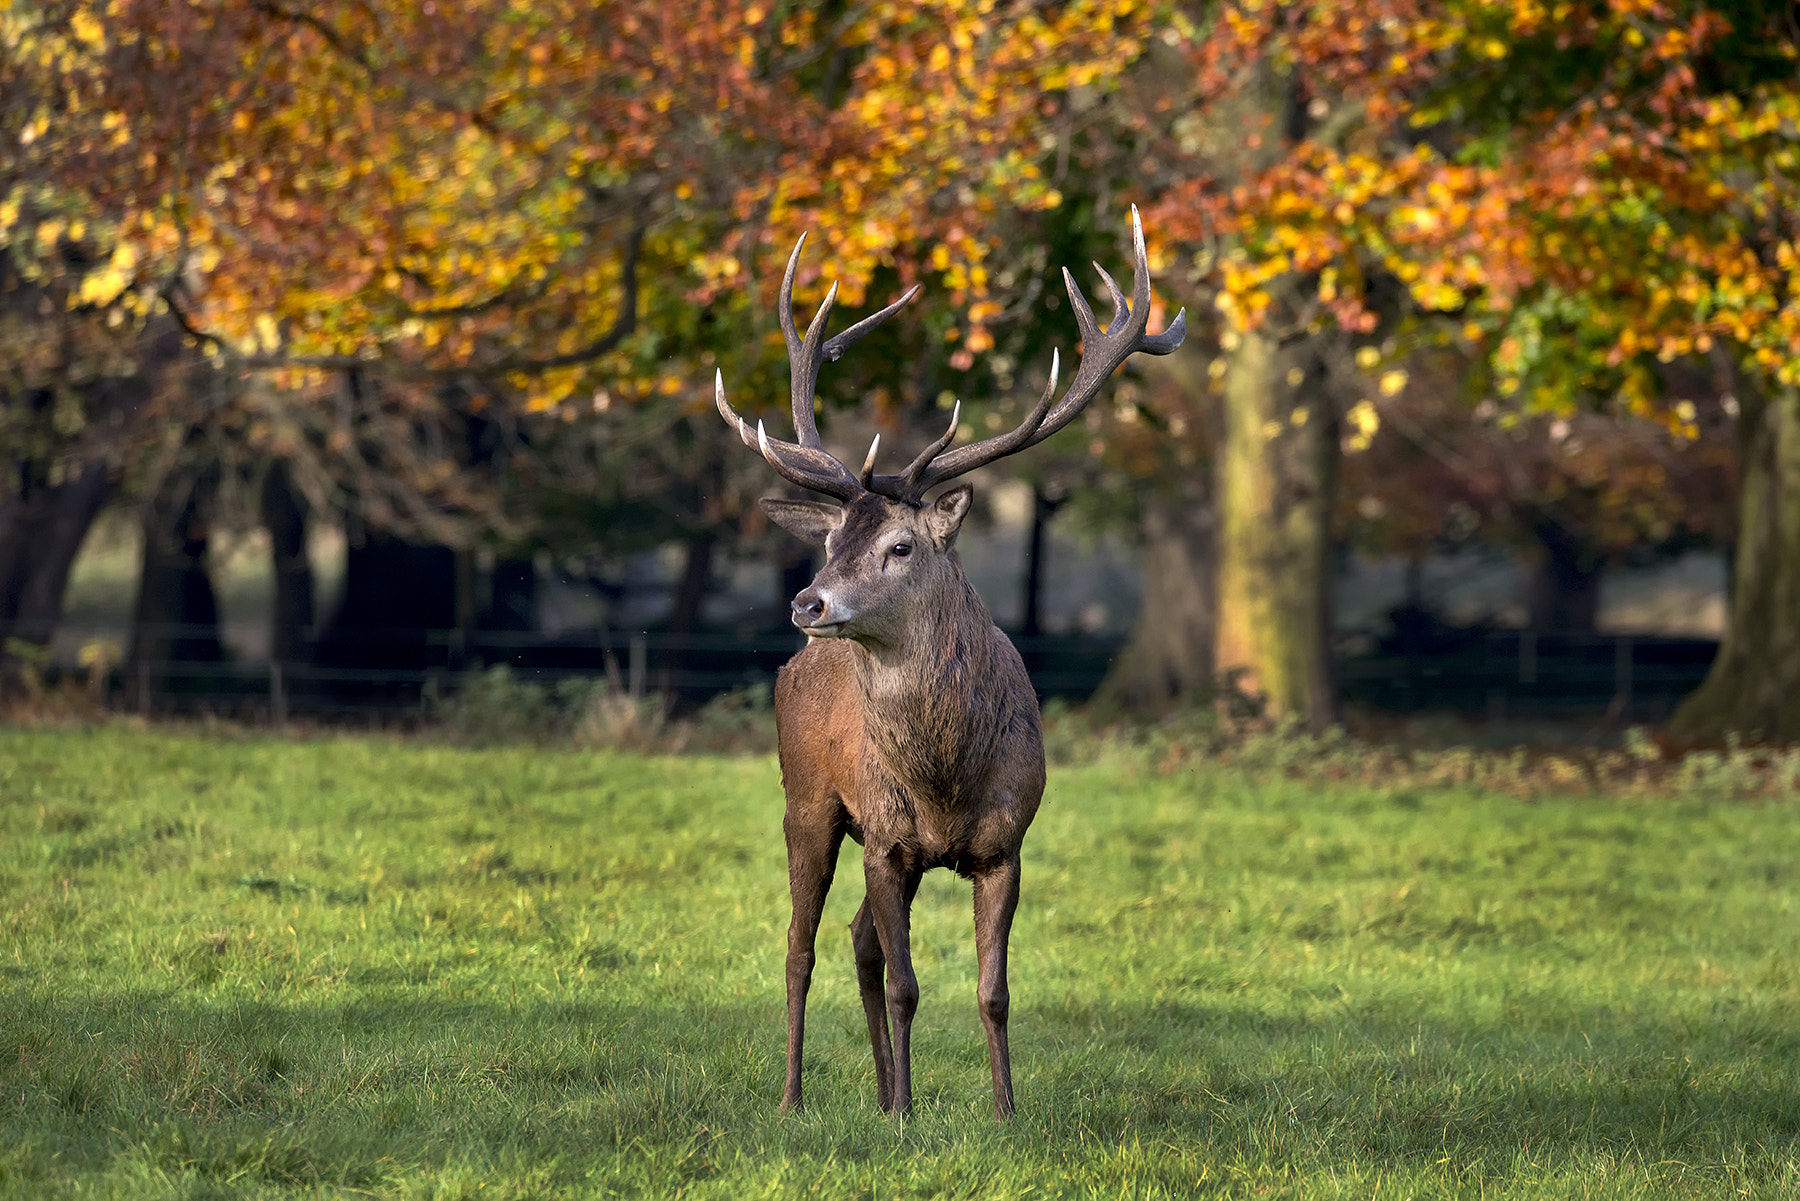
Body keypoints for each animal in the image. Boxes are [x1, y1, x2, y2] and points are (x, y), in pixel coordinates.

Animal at [714, 207, 1184, 1119]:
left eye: (900, 545)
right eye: (832, 537)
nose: (808, 603)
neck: (945, 778)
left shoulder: (1006, 842)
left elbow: (991, 989)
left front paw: (1003, 1110)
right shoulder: (889, 839)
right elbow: (906, 984)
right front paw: (905, 1114)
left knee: (856, 940)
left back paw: (877, 1087)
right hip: (809, 799)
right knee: (800, 946)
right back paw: (797, 1097)